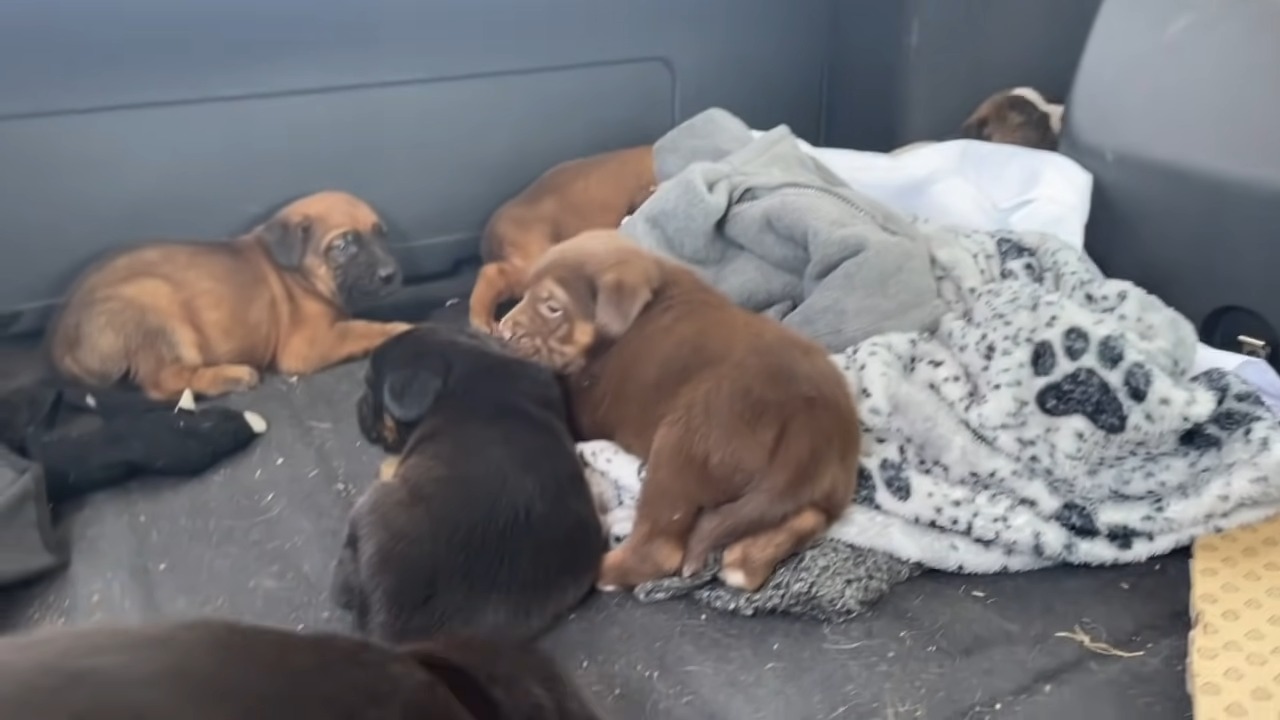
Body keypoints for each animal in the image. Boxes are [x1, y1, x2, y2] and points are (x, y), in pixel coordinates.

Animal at [47, 189, 409, 397]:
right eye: (344, 245)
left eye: (382, 234)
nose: (391, 275)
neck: (299, 276)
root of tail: (62, 346)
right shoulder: (306, 345)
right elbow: (361, 329)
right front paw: (400, 329)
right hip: (154, 297)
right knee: (163, 382)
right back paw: (232, 375)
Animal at [496, 229, 860, 589]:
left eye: (552, 307)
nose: (502, 331)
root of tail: (809, 423)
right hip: (823, 487)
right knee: (808, 515)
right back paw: (746, 561)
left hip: (683, 445)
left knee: (660, 549)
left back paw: (604, 571)